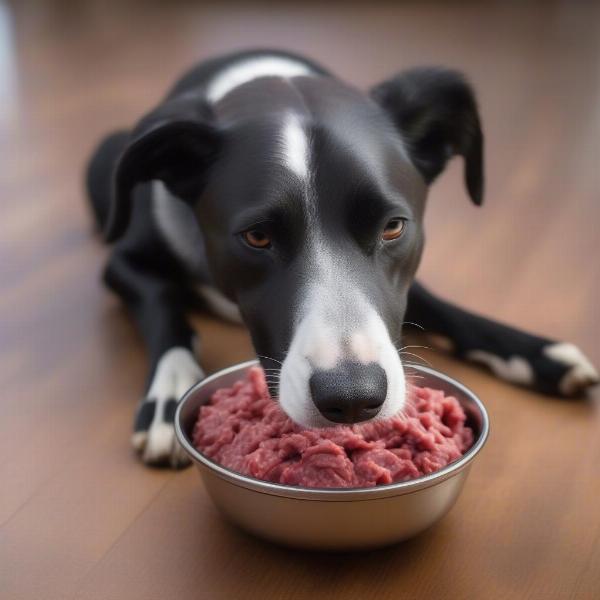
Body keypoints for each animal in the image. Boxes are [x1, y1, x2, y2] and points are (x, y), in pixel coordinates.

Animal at [85, 49, 600, 466]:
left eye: (393, 226)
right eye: (257, 237)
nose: (353, 399)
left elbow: (436, 305)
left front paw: (533, 352)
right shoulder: (123, 263)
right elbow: (165, 307)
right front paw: (169, 391)